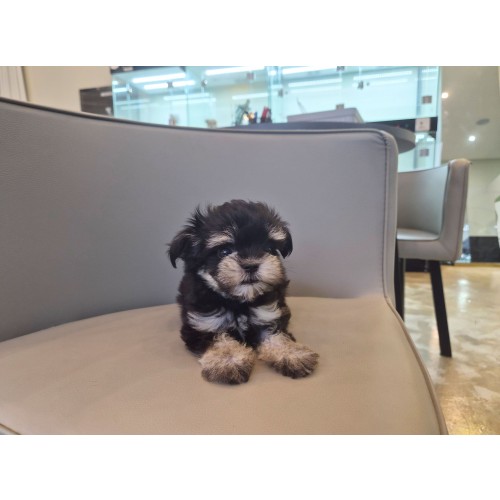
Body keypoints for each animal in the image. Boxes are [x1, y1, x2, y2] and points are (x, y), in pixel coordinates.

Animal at [168, 199, 319, 384]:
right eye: (224, 251)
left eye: (268, 248)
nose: (251, 265)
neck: (238, 301)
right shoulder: (204, 324)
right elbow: (220, 340)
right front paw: (228, 360)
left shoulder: (267, 315)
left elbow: (276, 335)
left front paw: (292, 354)